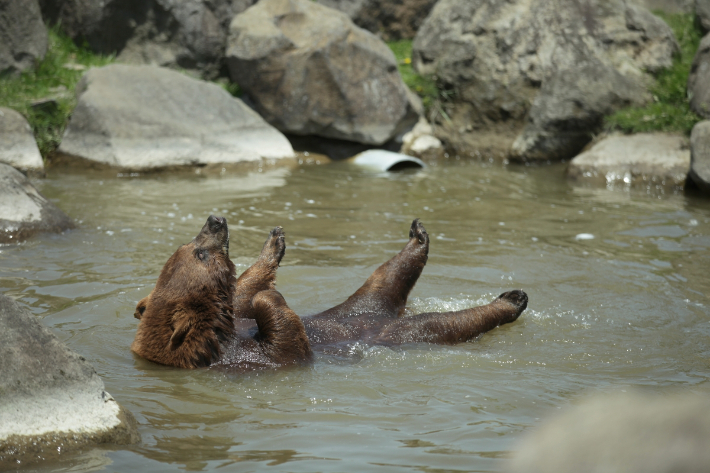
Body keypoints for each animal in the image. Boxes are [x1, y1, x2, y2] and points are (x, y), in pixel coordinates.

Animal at [132, 215, 528, 368]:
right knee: (444, 324)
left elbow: (244, 294)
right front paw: (270, 299)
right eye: (199, 253)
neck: (222, 335)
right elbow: (289, 338)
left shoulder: (238, 321)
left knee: (386, 276)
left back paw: (419, 234)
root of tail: (384, 317)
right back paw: (511, 300)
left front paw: (274, 243)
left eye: (189, 245)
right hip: (401, 331)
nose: (215, 221)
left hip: (363, 304)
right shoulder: (254, 359)